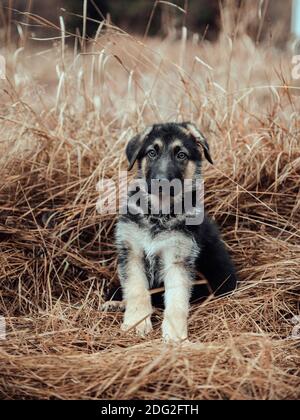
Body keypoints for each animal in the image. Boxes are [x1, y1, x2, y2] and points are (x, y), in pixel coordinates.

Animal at [115, 121, 237, 342]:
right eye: (152, 152)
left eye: (181, 155)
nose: (162, 182)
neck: (158, 215)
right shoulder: (132, 253)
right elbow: (136, 289)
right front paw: (137, 322)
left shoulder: (178, 259)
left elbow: (177, 301)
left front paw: (174, 334)